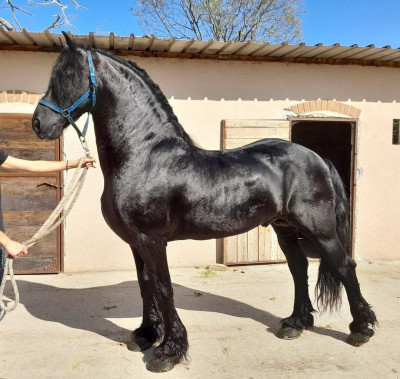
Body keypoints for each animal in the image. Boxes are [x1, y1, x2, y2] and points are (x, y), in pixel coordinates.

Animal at [32, 34, 378, 372]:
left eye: (68, 75)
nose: (38, 123)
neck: (145, 157)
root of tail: (317, 158)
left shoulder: (152, 240)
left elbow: (163, 288)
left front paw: (168, 352)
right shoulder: (136, 242)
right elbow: (146, 286)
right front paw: (146, 335)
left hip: (320, 230)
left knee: (344, 266)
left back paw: (360, 330)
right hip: (285, 228)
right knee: (299, 267)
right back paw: (296, 324)